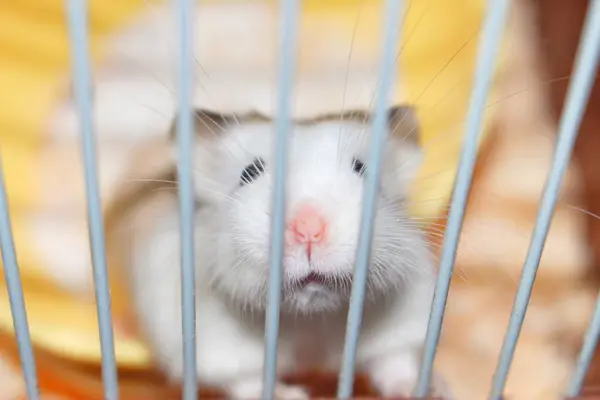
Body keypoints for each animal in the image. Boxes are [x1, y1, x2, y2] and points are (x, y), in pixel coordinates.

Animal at [104, 107, 450, 400]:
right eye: (249, 173)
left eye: (362, 169)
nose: (308, 228)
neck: (310, 319)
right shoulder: (216, 348)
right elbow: (249, 382)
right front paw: (294, 395)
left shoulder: (402, 322)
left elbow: (394, 363)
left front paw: (429, 389)